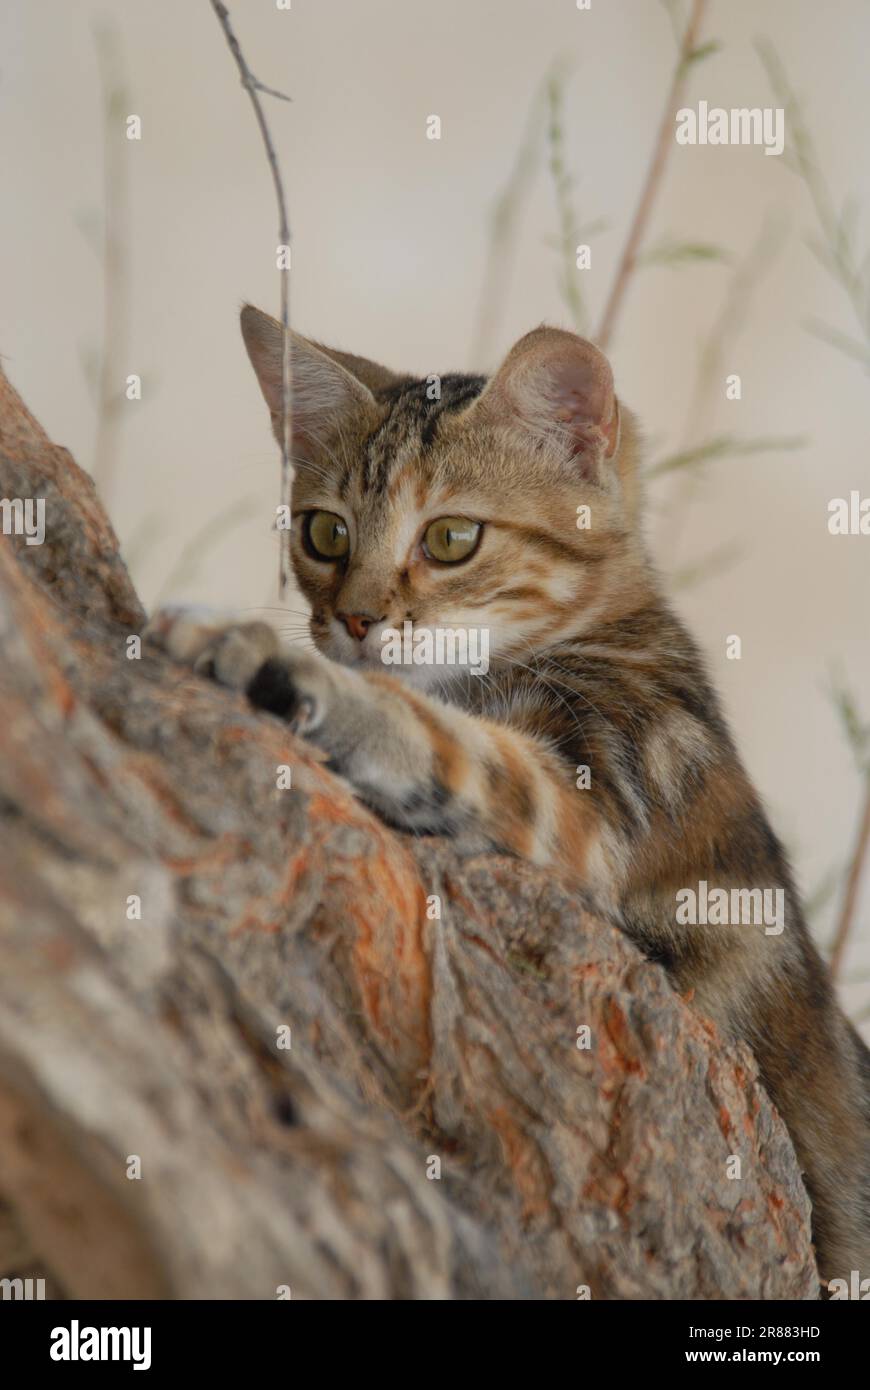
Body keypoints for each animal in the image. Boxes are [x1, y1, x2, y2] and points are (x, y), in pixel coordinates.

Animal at [145, 304, 861, 1278]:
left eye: (451, 539)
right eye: (325, 533)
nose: (354, 620)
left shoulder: (593, 797)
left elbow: (441, 738)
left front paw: (273, 662)